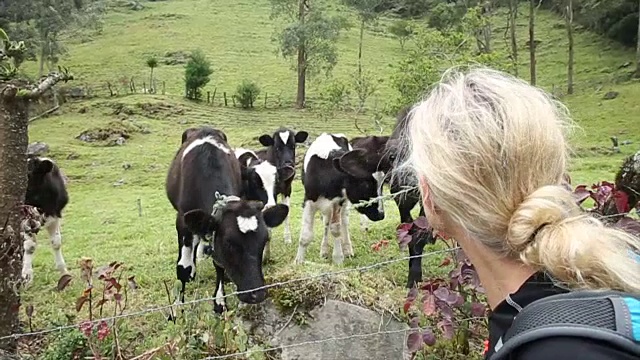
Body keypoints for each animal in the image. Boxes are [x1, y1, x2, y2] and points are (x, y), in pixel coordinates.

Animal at [22, 155, 70, 286]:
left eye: (29, 174)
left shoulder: (55, 216)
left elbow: (56, 242)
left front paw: (64, 272)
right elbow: (30, 246)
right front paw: (26, 276)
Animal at [165, 127, 288, 316]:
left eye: (263, 241)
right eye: (229, 243)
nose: (256, 295)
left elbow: (219, 264)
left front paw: (219, 302)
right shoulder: (183, 222)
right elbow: (183, 268)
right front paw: (177, 308)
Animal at [294, 132, 384, 264]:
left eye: (381, 184)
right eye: (365, 184)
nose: (381, 215)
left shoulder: (338, 201)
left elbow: (336, 229)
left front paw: (338, 258)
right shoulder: (308, 200)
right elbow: (306, 233)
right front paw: (299, 260)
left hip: (344, 204)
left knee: (344, 222)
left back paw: (347, 250)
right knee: (326, 222)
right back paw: (324, 251)